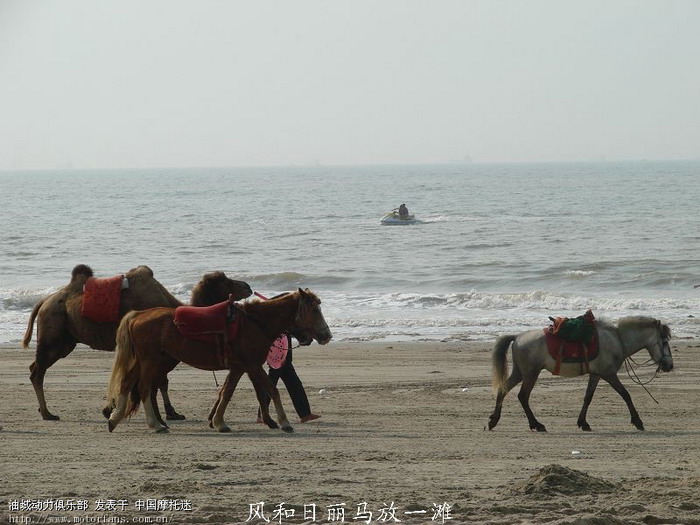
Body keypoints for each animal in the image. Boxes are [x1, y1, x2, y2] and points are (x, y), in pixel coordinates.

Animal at [22, 264, 252, 420]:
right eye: (226, 281)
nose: (248, 286)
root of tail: (44, 301)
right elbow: (157, 381)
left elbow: (160, 381)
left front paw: (171, 413)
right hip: (54, 333)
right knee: (37, 371)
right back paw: (47, 413)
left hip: (66, 340)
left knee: (36, 368)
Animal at [106, 288, 330, 432]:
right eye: (314, 310)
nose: (327, 335)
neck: (255, 323)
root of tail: (138, 315)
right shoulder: (252, 365)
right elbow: (271, 390)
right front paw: (284, 422)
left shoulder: (240, 367)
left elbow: (227, 392)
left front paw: (219, 421)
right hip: (150, 361)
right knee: (144, 388)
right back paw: (155, 424)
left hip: (144, 361)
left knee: (127, 383)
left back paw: (115, 418)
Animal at [486, 316, 672, 430]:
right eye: (664, 341)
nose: (670, 365)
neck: (618, 339)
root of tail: (517, 337)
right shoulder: (609, 374)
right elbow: (626, 395)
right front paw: (637, 421)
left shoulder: (596, 375)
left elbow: (587, 398)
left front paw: (583, 422)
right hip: (531, 374)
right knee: (523, 396)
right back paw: (536, 424)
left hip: (520, 372)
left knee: (503, 389)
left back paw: (493, 421)